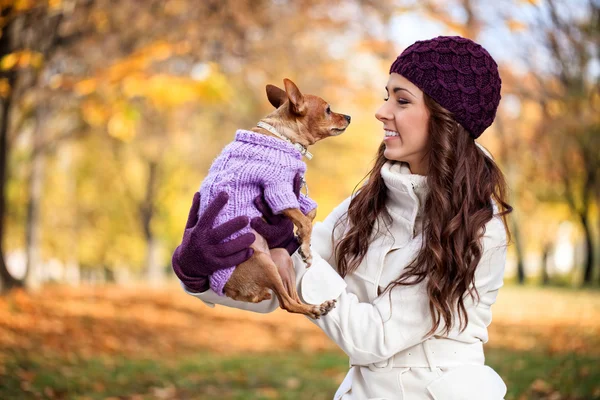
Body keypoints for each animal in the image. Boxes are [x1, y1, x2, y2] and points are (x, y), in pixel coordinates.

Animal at [199, 78, 350, 318]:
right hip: (264, 262)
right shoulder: (277, 190)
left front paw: (301, 238)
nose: (348, 117)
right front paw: (306, 247)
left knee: (291, 298)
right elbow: (305, 219)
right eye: (328, 110)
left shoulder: (292, 190)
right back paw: (316, 306)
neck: (283, 136)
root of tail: (231, 290)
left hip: (280, 259)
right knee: (287, 303)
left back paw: (318, 307)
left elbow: (310, 212)